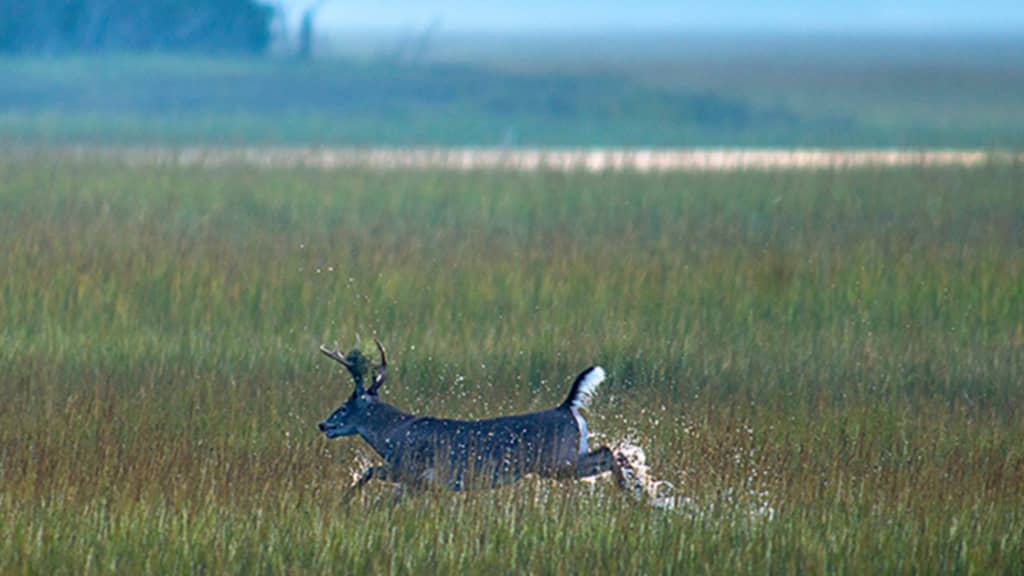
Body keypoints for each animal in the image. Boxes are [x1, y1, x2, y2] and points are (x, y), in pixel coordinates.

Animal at [317, 338, 622, 491]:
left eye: (343, 406)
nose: (322, 424)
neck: (393, 434)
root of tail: (567, 407)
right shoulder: (419, 484)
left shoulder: (411, 469)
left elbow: (369, 471)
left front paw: (347, 501)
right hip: (568, 458)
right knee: (610, 454)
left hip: (557, 462)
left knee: (610, 453)